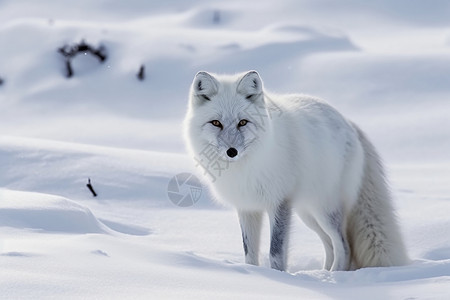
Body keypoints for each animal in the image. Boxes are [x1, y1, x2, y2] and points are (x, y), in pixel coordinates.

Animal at [182, 71, 408, 272]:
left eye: (243, 122)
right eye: (216, 123)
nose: (232, 152)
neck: (247, 167)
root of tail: (348, 122)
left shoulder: (279, 203)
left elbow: (275, 253)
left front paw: (279, 278)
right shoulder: (247, 207)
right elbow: (249, 253)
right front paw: (253, 275)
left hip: (325, 210)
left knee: (344, 246)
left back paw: (332, 276)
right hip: (307, 214)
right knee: (330, 245)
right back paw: (321, 273)